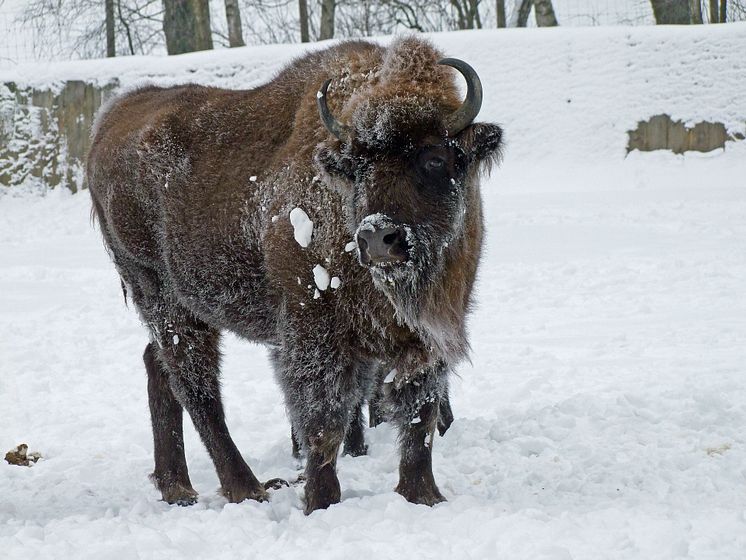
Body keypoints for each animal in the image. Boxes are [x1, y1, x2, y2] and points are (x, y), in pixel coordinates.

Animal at [90, 37, 502, 516]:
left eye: (435, 157)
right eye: (357, 166)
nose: (378, 237)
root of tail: (110, 120)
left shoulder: (427, 335)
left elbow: (419, 414)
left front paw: (423, 496)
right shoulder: (313, 333)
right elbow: (323, 418)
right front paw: (321, 501)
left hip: (185, 309)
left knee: (160, 368)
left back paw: (178, 488)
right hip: (160, 296)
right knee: (198, 388)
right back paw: (246, 488)